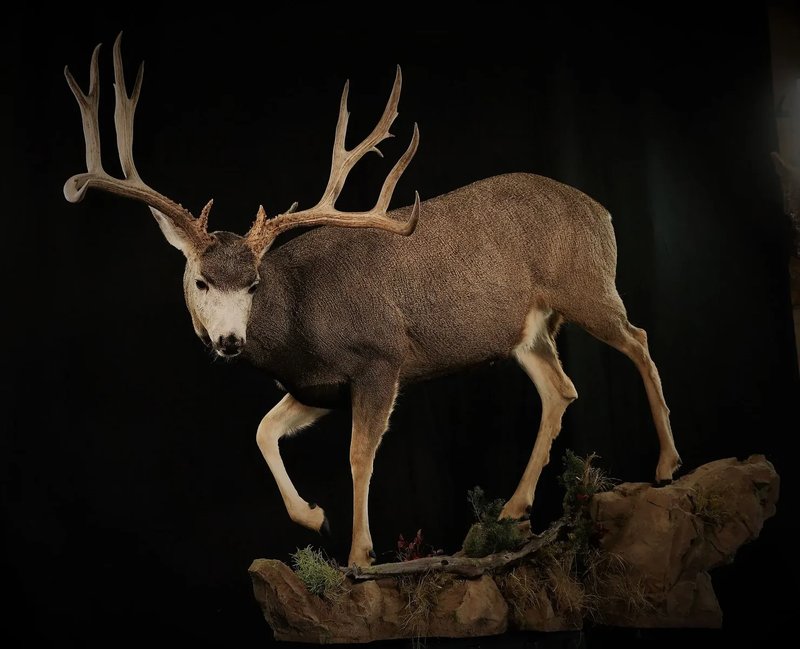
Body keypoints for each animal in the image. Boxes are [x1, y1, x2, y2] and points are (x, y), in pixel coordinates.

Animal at [63, 34, 682, 568]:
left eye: (255, 283)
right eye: (200, 281)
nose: (230, 341)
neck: (297, 321)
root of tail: (602, 212)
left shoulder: (381, 360)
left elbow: (359, 455)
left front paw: (360, 555)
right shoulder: (317, 387)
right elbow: (262, 430)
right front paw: (314, 518)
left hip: (588, 286)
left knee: (639, 341)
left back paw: (666, 465)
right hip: (528, 331)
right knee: (561, 388)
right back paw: (513, 509)